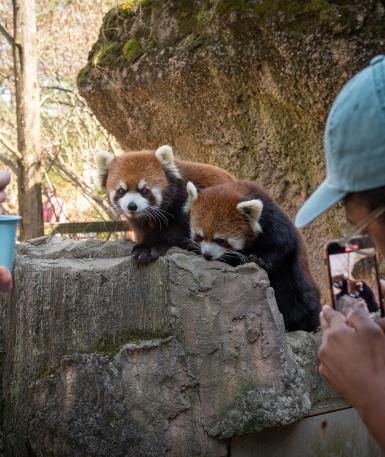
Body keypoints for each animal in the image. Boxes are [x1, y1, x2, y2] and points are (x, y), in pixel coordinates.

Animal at [96, 144, 234, 266]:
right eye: (121, 191)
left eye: (144, 190)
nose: (132, 206)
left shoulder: (185, 201)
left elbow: (177, 230)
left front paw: (149, 247)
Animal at [184, 179, 320, 332]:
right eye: (200, 236)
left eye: (220, 240)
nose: (207, 255)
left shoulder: (273, 221)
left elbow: (282, 247)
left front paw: (259, 260)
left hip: (297, 285)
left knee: (303, 301)